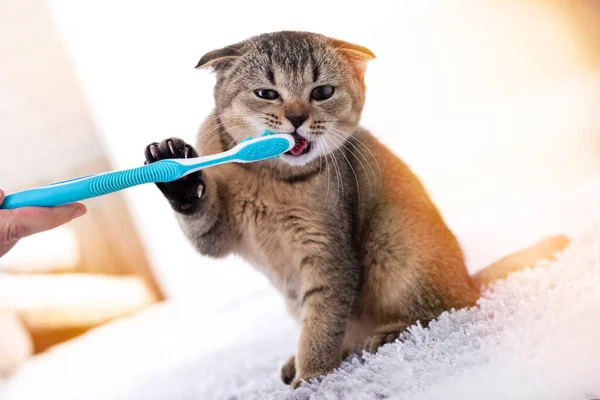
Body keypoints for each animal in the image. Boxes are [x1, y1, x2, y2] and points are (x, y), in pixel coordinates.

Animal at [144, 31, 568, 388]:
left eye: (322, 91)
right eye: (266, 93)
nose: (296, 118)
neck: (271, 177)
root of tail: (468, 277)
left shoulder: (328, 255)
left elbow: (320, 327)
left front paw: (312, 379)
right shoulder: (219, 236)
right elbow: (201, 216)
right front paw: (175, 171)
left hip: (396, 247)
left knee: (450, 308)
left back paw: (387, 334)